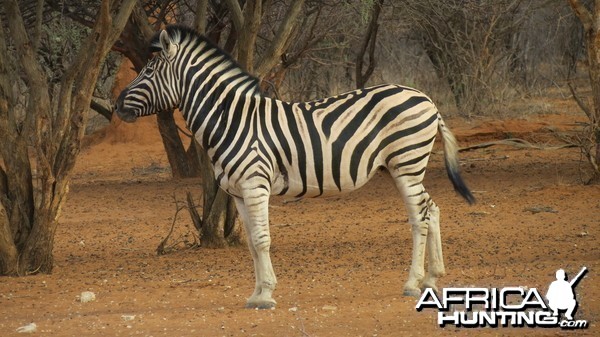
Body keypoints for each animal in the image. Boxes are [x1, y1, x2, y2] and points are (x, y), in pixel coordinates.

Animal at [115, 25, 476, 308]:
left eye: (148, 72)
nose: (117, 104)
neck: (231, 120)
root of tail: (425, 98)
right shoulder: (239, 193)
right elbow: (251, 242)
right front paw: (256, 293)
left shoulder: (255, 184)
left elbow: (262, 239)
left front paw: (266, 295)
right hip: (403, 166)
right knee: (432, 209)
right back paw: (432, 278)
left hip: (406, 162)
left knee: (419, 217)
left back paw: (413, 283)